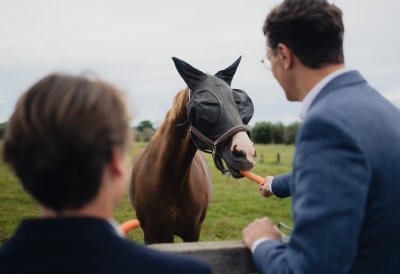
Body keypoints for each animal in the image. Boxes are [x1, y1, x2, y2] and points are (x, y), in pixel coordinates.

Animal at [130, 56, 258, 243]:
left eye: (239, 103)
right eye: (207, 104)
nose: (245, 153)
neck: (173, 184)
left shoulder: (192, 232)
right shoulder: (152, 234)